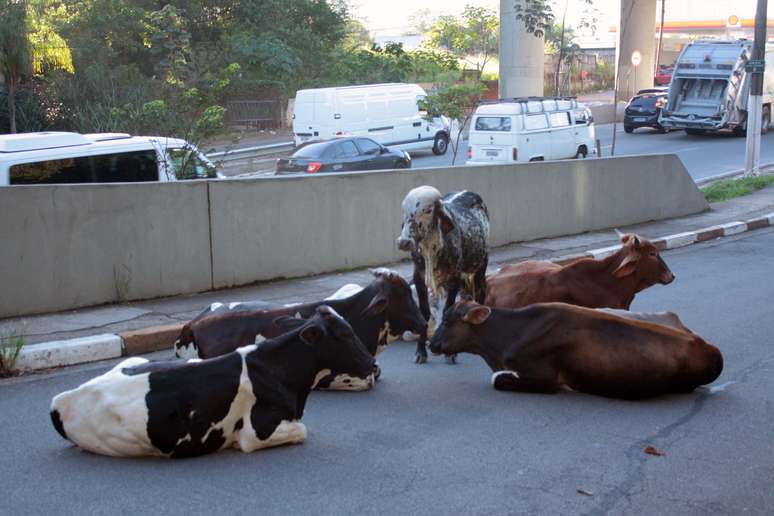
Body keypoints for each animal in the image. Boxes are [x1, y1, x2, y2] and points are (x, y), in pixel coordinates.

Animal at [400, 185, 492, 362]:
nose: (404, 242)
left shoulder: (454, 279)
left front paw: (450, 353)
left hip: (480, 266)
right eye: (404, 210)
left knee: (481, 291)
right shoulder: (419, 278)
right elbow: (425, 313)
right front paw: (421, 351)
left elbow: (447, 310)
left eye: (428, 210)